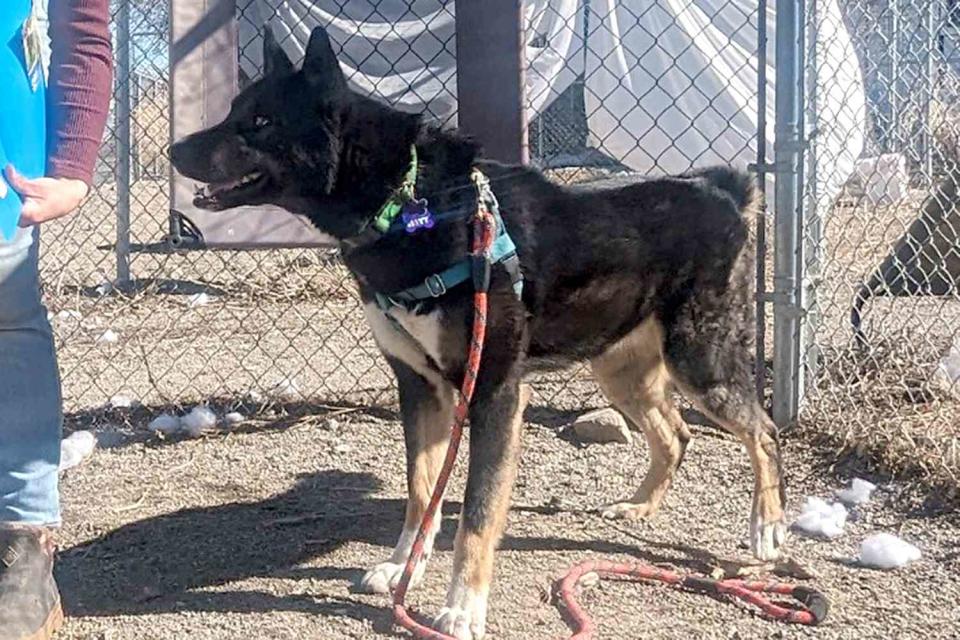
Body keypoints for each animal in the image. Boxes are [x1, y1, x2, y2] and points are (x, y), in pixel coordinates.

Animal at [172, 26, 788, 640]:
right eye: (233, 111)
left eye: (259, 121)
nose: (175, 151)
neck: (410, 202)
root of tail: (720, 188)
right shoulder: (420, 387)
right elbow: (421, 491)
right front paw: (403, 567)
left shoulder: (495, 391)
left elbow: (478, 507)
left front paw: (464, 605)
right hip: (620, 369)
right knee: (676, 434)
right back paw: (639, 506)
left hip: (700, 360)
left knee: (762, 430)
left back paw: (767, 529)